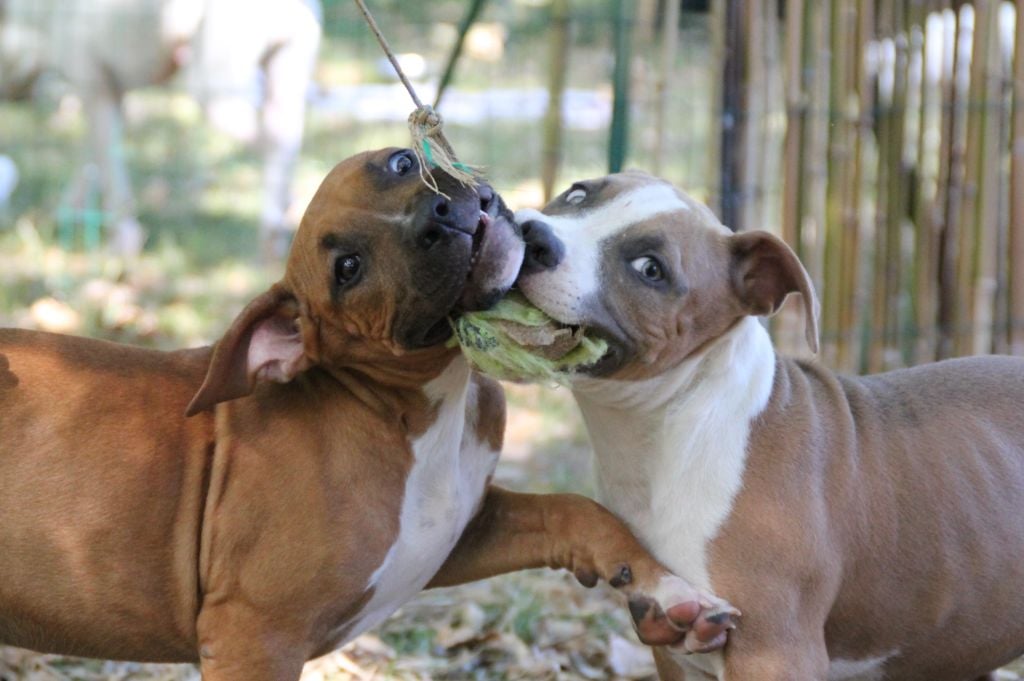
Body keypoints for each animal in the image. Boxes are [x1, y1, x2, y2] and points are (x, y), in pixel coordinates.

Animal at [0, 152, 737, 679]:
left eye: (401, 163)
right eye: (348, 268)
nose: (438, 215)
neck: (411, 408)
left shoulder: (456, 532)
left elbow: (573, 512)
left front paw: (668, 590)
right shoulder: (251, 636)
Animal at [516, 166, 1024, 675]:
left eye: (650, 269)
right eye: (577, 193)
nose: (532, 235)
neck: (667, 430)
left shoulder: (775, 652)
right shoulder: (675, 651)